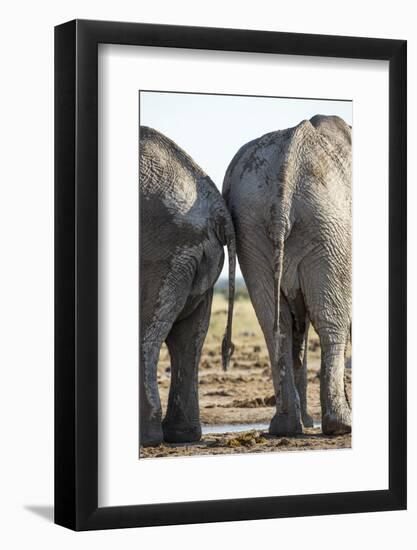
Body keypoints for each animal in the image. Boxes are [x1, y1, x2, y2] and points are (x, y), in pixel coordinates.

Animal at [140, 126, 236, 448]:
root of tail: (217, 207)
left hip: (161, 251)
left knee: (148, 337)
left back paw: (149, 437)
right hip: (193, 254)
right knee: (189, 340)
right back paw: (182, 436)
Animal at [223, 114, 350, 438]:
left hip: (252, 228)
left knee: (274, 323)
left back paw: (286, 427)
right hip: (328, 226)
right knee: (330, 321)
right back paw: (340, 426)